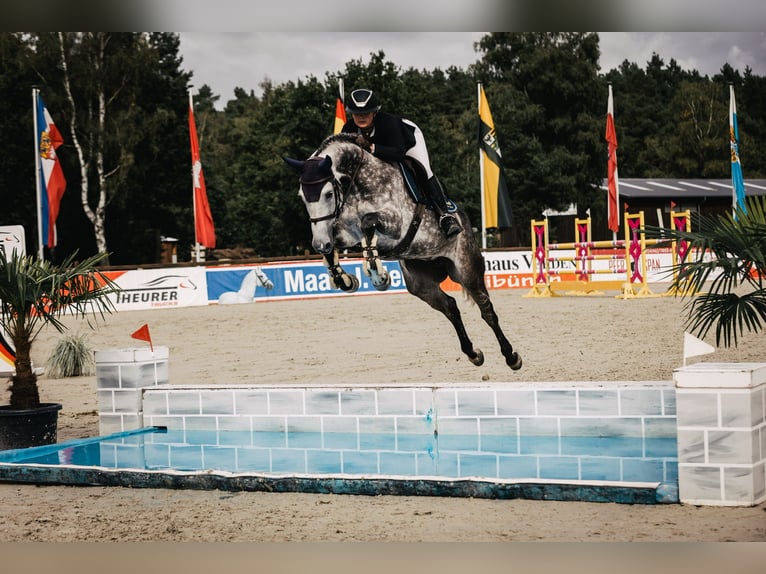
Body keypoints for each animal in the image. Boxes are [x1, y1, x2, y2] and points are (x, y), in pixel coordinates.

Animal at [283, 132, 521, 370]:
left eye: (328, 194)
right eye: (302, 196)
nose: (319, 244)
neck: (358, 182)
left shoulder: (397, 224)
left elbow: (368, 223)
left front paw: (378, 274)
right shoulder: (343, 232)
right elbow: (337, 237)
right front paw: (344, 279)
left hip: (466, 268)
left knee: (486, 309)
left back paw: (511, 356)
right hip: (420, 283)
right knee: (450, 307)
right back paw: (473, 353)